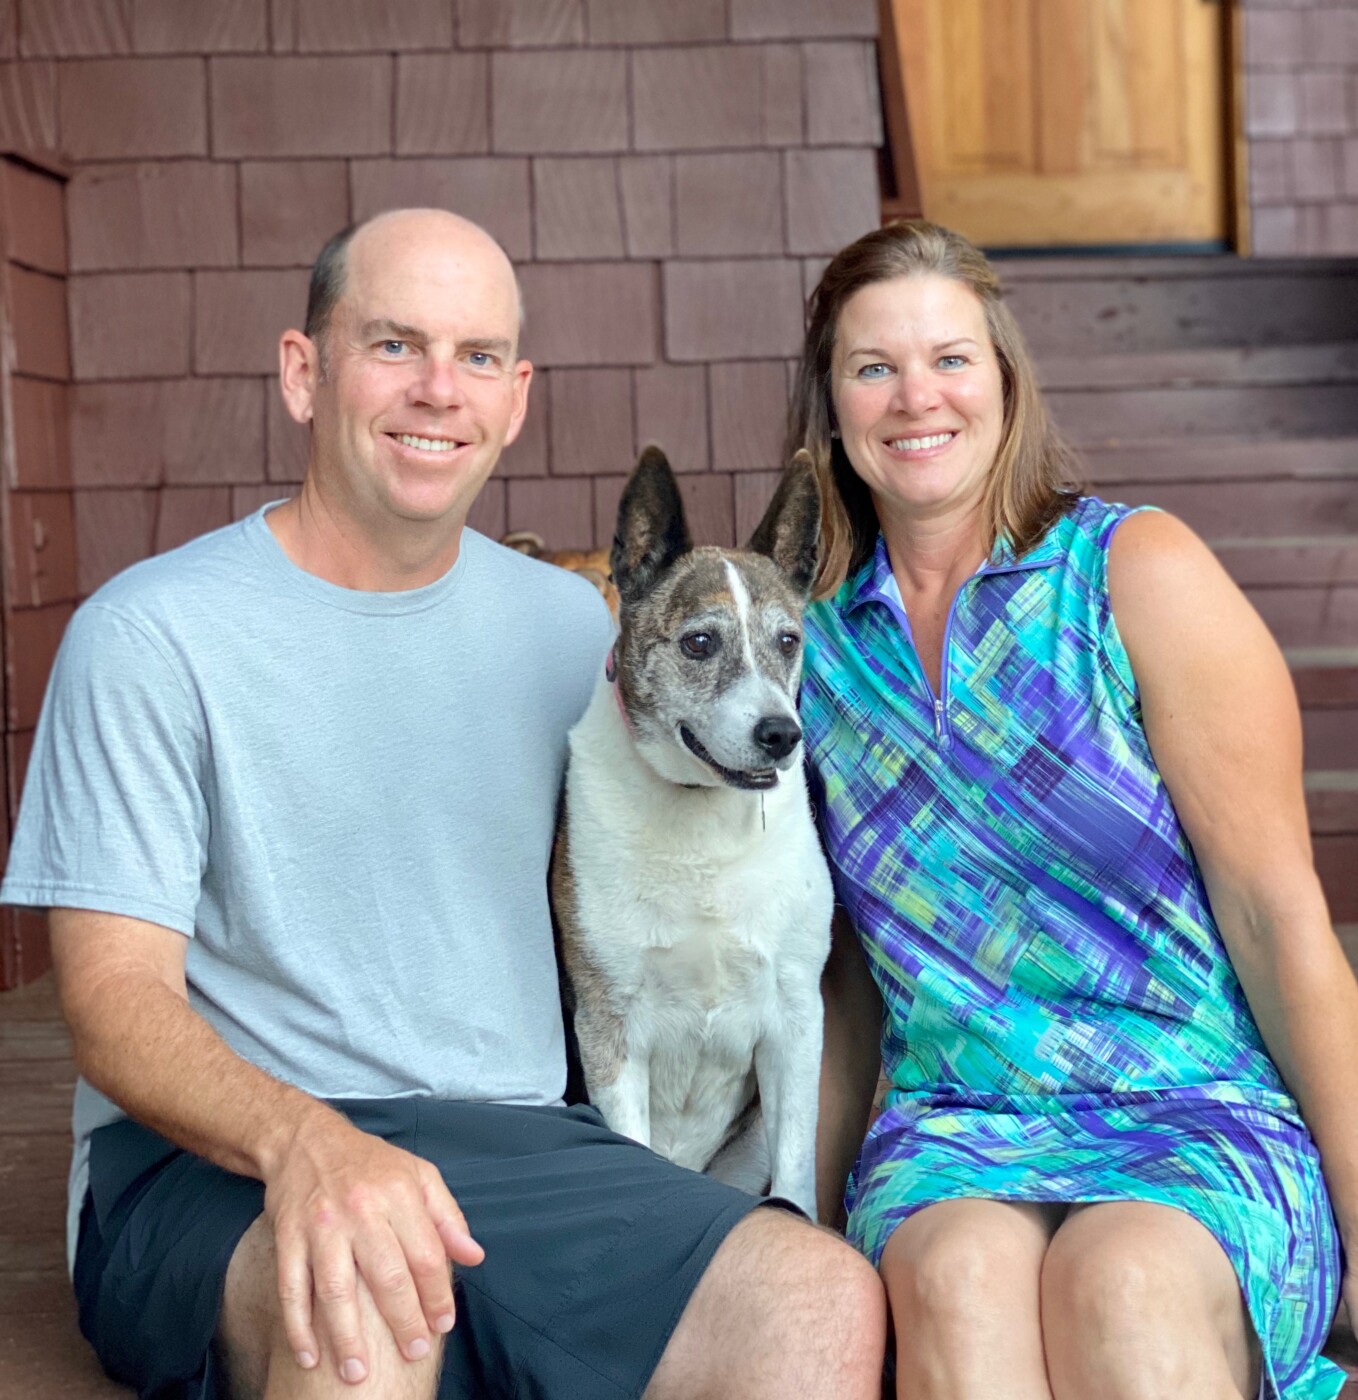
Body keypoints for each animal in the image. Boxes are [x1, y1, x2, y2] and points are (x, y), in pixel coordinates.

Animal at [551, 446, 834, 1217]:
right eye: (699, 643)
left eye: (788, 642)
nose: (781, 735)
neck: (704, 819)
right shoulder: (609, 1027)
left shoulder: (797, 1020)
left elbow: (798, 1179)